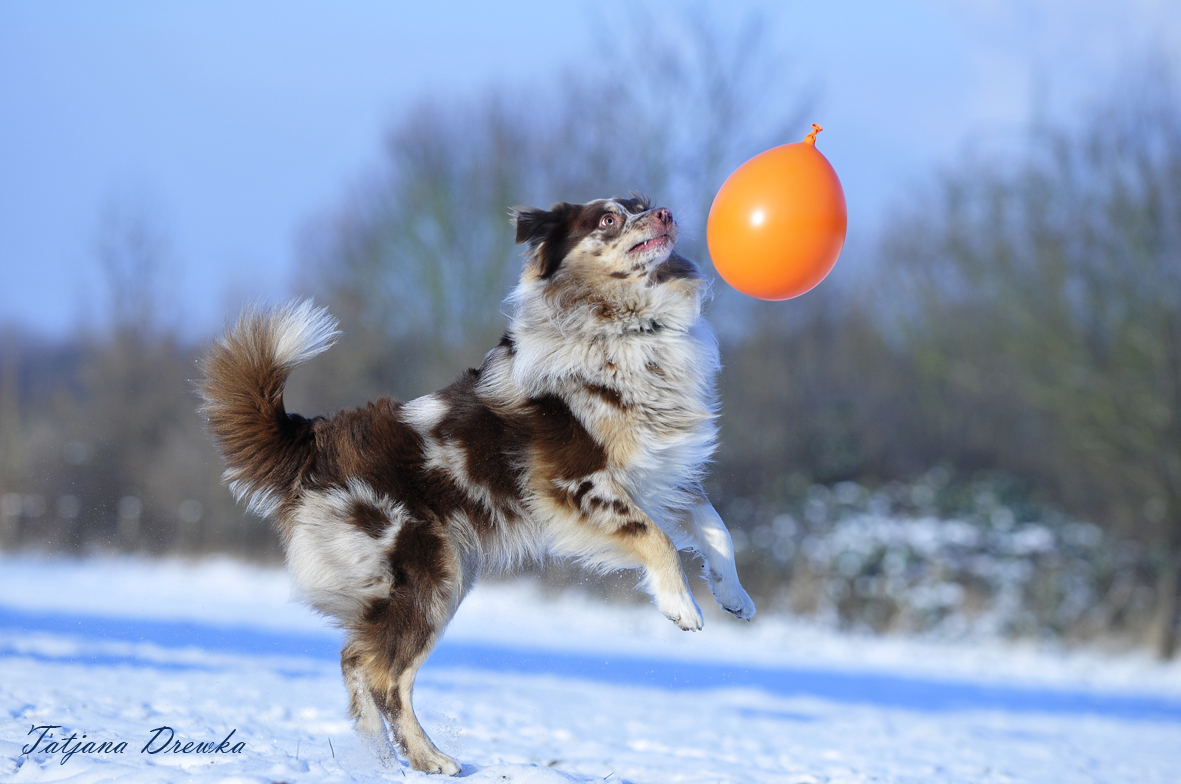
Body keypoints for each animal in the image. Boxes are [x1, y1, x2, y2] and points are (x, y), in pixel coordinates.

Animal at [199, 195, 755, 769]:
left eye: (641, 204)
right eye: (607, 218)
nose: (666, 213)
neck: (628, 329)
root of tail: (316, 441)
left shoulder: (662, 475)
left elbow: (717, 531)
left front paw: (734, 595)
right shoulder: (578, 484)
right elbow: (658, 539)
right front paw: (682, 606)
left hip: (440, 579)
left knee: (356, 658)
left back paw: (379, 759)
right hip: (427, 579)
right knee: (384, 674)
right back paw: (431, 761)